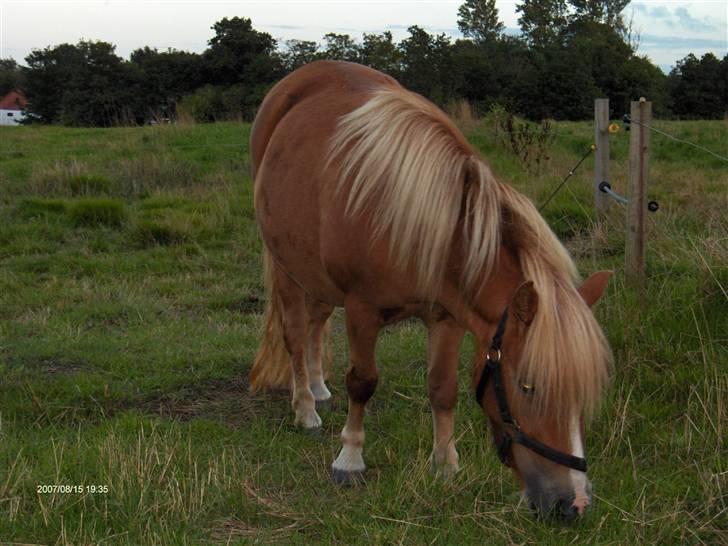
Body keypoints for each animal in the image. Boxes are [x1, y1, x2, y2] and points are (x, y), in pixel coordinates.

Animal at [247, 59, 612, 520]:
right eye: (528, 385)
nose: (573, 502)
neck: (426, 225)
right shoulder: (361, 309)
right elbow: (362, 382)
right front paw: (349, 460)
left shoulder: (448, 315)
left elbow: (443, 388)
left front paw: (446, 464)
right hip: (287, 266)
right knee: (296, 334)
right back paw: (305, 408)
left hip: (315, 272)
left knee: (315, 326)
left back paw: (317, 388)